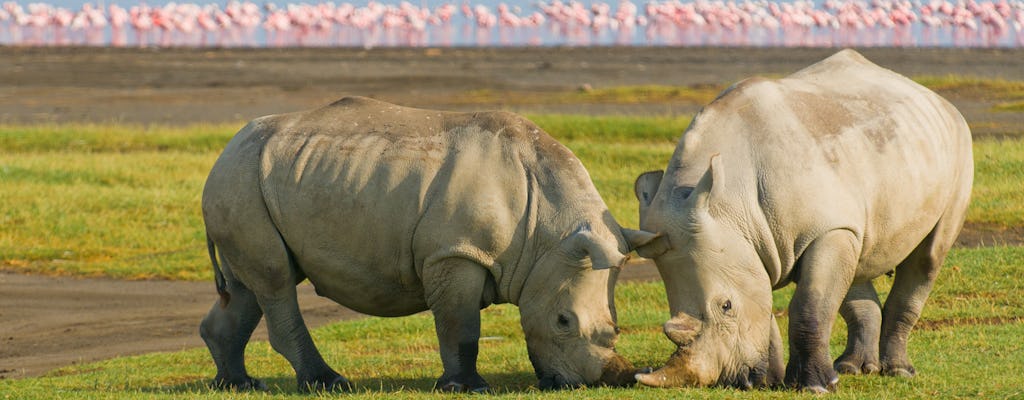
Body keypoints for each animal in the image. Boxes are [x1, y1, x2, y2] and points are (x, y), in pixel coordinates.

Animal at [199, 97, 647, 394]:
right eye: (563, 321)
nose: (602, 380)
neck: (549, 232)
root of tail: (226, 149)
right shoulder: (455, 252)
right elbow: (460, 325)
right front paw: (467, 388)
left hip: (253, 180)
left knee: (249, 285)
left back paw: (238, 384)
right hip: (240, 177)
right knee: (275, 280)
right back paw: (328, 383)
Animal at [626, 49, 970, 390]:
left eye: (726, 306)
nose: (734, 382)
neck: (730, 204)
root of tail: (933, 96)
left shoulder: (825, 229)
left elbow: (809, 304)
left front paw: (813, 386)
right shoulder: (752, 243)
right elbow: (767, 305)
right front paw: (775, 380)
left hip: (957, 141)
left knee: (927, 258)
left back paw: (897, 371)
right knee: (857, 259)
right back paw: (852, 368)